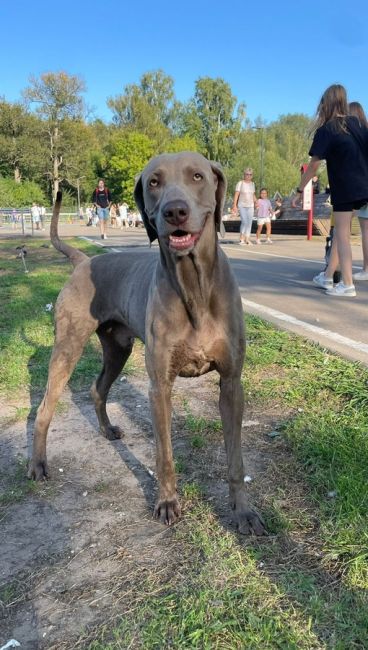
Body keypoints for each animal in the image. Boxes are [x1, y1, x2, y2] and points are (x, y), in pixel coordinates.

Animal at [28, 151, 264, 532]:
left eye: (197, 176)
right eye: (154, 182)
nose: (175, 211)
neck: (194, 286)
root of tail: (83, 261)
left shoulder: (231, 383)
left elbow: (236, 461)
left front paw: (243, 512)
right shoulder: (160, 387)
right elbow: (164, 454)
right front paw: (167, 503)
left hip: (118, 347)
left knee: (97, 388)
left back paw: (106, 430)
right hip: (67, 346)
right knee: (45, 408)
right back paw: (37, 464)